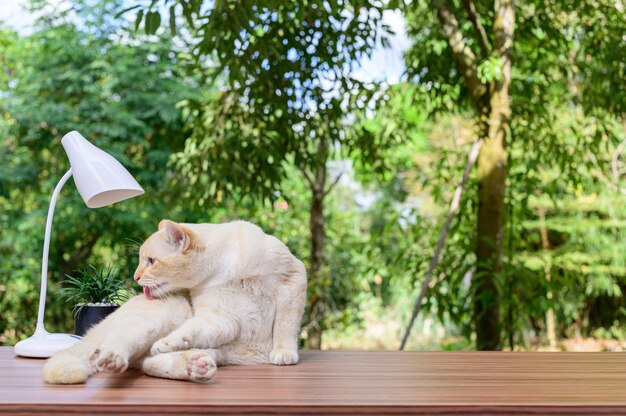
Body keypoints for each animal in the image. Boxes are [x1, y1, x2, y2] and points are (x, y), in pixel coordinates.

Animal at [42, 219, 306, 386]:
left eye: (151, 261)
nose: (136, 277)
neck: (225, 268)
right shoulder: (220, 317)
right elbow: (190, 330)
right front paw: (169, 342)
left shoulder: (291, 283)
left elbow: (285, 328)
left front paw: (283, 354)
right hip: (162, 316)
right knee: (121, 347)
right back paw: (116, 358)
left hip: (215, 351)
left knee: (149, 362)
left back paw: (194, 367)